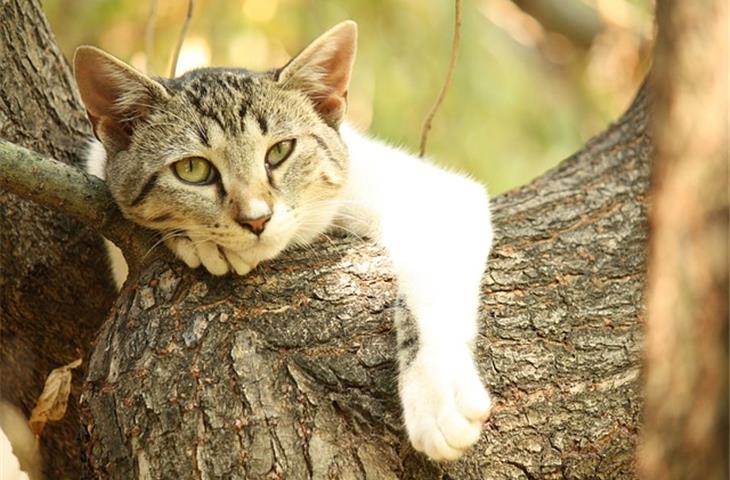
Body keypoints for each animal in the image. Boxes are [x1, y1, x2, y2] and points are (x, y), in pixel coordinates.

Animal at [74, 19, 492, 462]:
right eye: (192, 169)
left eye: (280, 151)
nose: (256, 217)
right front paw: (202, 242)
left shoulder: (430, 191)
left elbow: (432, 285)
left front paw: (438, 395)